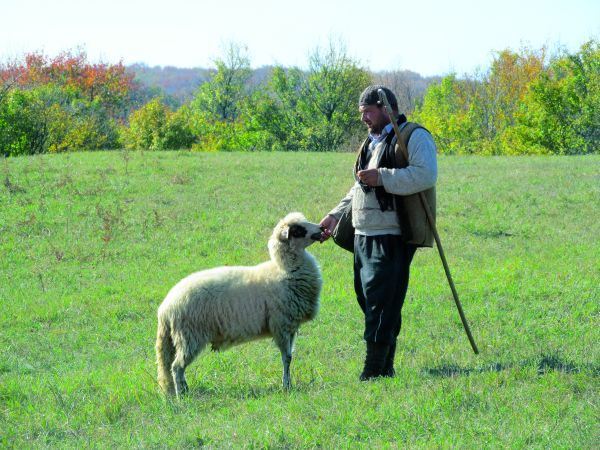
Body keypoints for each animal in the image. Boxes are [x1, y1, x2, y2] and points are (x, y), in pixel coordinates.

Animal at [155, 213, 324, 396]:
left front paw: (288, 384)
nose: (322, 228)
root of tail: (166, 308)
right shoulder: (281, 325)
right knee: (177, 366)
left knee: (173, 366)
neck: (285, 271)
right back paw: (182, 395)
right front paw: (286, 386)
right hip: (189, 335)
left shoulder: (291, 326)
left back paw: (184, 390)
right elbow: (286, 358)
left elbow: (289, 357)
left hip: (180, 337)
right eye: (298, 230)